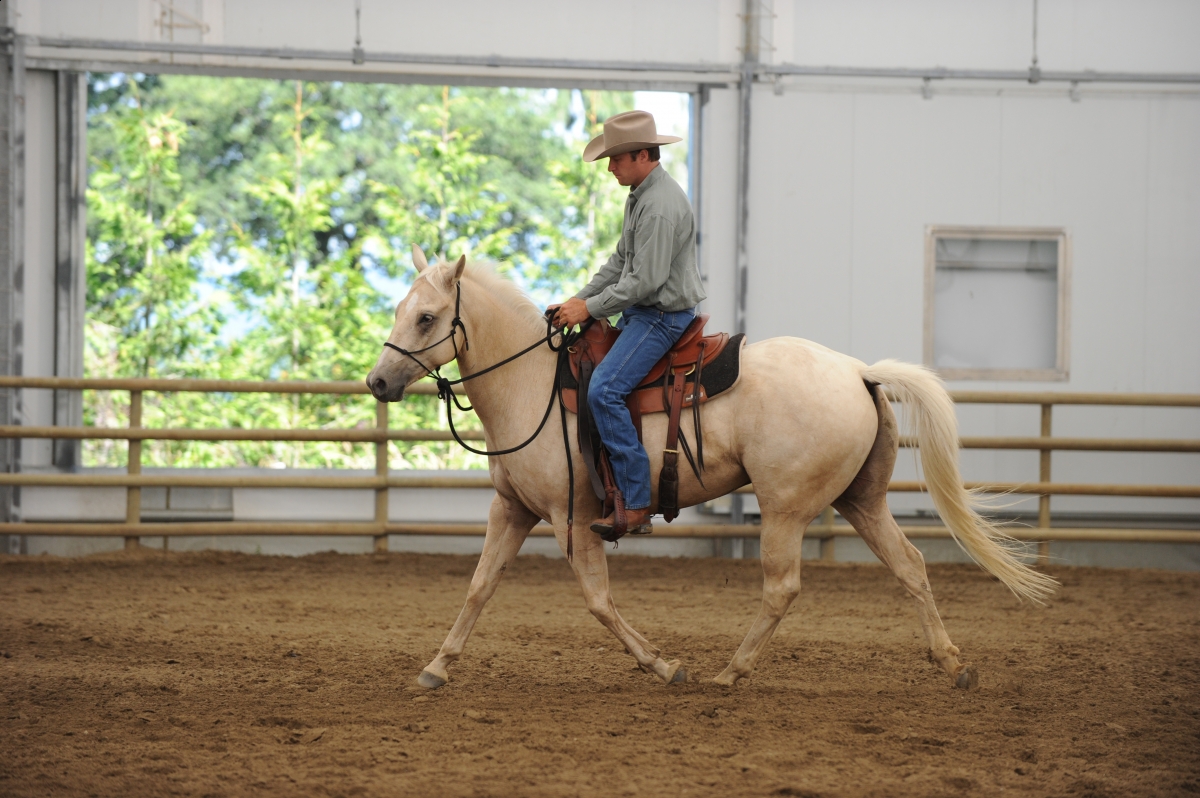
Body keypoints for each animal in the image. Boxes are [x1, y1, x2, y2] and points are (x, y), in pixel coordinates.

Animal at [366, 246, 1058, 690]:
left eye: (426, 317)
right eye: (399, 308)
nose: (376, 382)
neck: (532, 383)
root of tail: (858, 371)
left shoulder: (573, 516)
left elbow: (597, 600)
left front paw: (664, 666)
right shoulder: (511, 509)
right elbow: (479, 586)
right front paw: (436, 666)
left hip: (785, 508)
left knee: (782, 587)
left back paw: (731, 672)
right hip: (862, 501)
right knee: (911, 566)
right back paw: (953, 664)